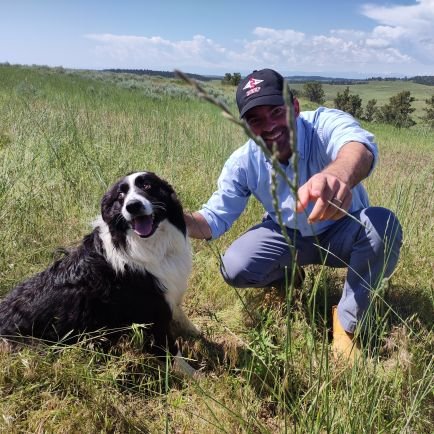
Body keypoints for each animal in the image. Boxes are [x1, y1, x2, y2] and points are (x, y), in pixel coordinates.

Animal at [0, 171, 198, 374]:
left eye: (147, 186)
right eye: (120, 196)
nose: (133, 206)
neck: (146, 245)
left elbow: (180, 315)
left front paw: (195, 332)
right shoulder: (152, 315)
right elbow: (172, 352)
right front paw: (195, 376)